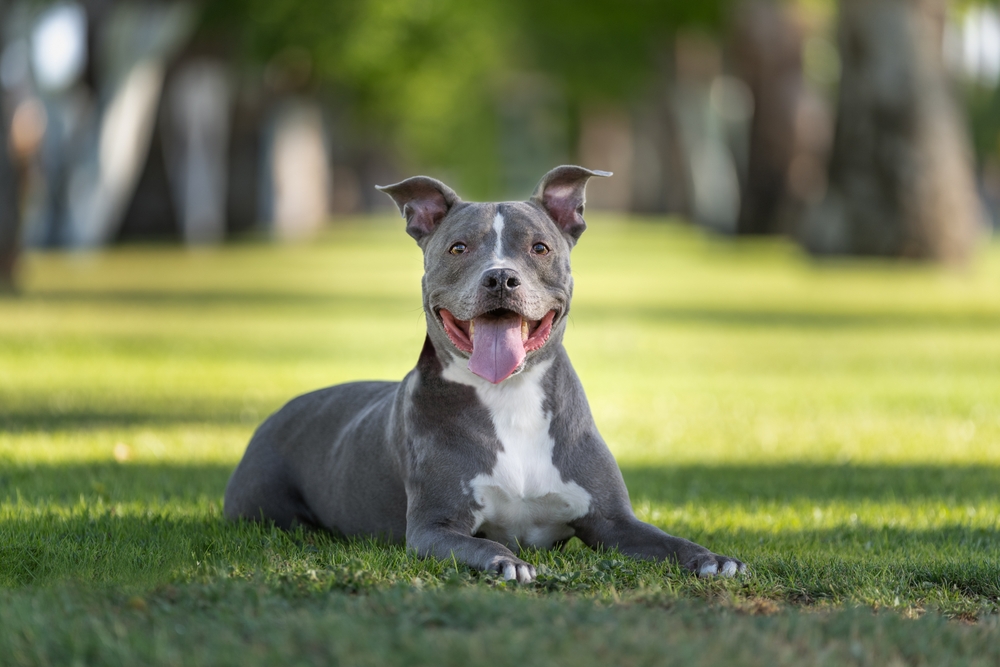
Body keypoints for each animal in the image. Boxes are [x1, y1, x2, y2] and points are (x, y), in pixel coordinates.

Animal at [225, 164, 744, 580]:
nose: (500, 277)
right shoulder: (435, 529)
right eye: (458, 248)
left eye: (539, 248)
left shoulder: (615, 523)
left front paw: (712, 558)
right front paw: (506, 562)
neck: (509, 396)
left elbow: (669, 541)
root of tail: (278, 412)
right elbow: (484, 543)